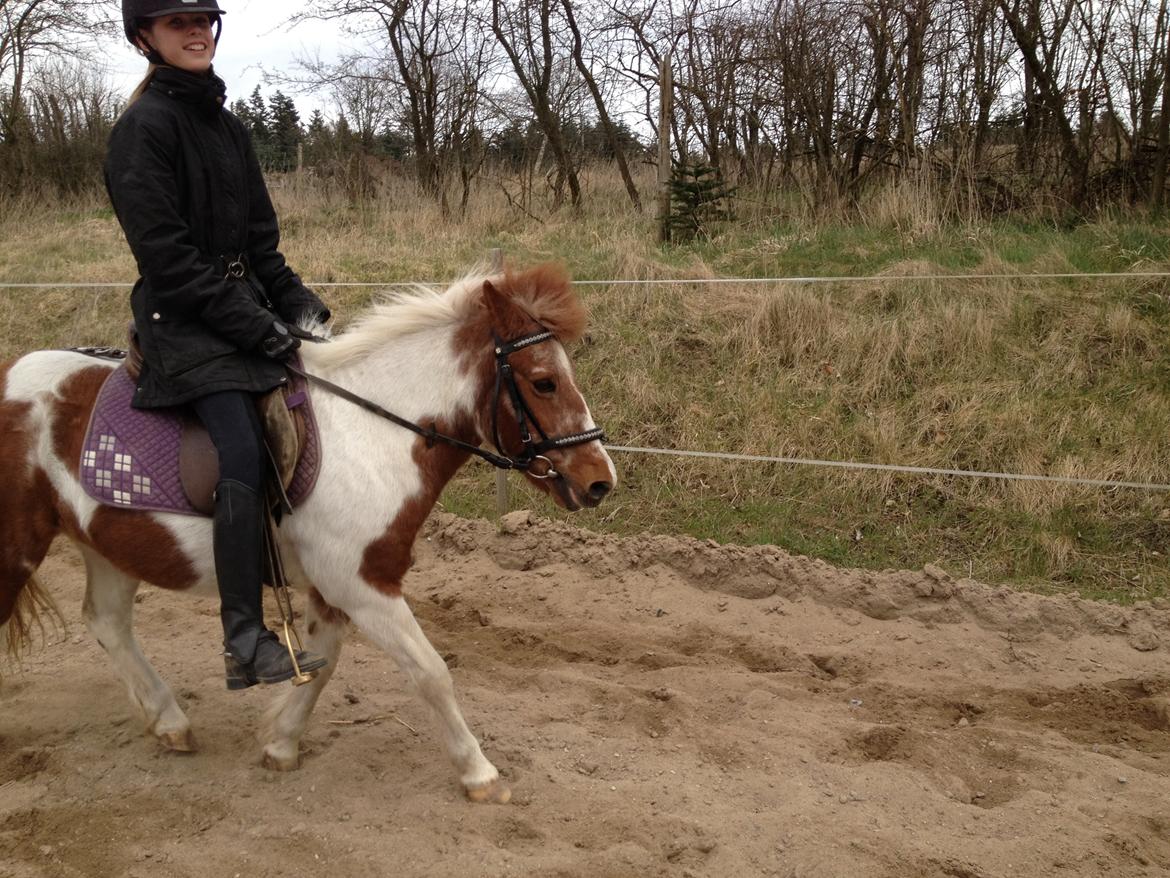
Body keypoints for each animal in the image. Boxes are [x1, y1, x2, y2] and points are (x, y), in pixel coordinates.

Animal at [0, 261, 617, 805]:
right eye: (544, 382)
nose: (600, 481)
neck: (373, 435)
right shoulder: (363, 585)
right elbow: (431, 672)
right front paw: (479, 774)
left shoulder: (336, 589)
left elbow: (324, 665)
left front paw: (280, 745)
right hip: (19, 547)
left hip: (106, 544)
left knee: (108, 622)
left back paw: (169, 721)